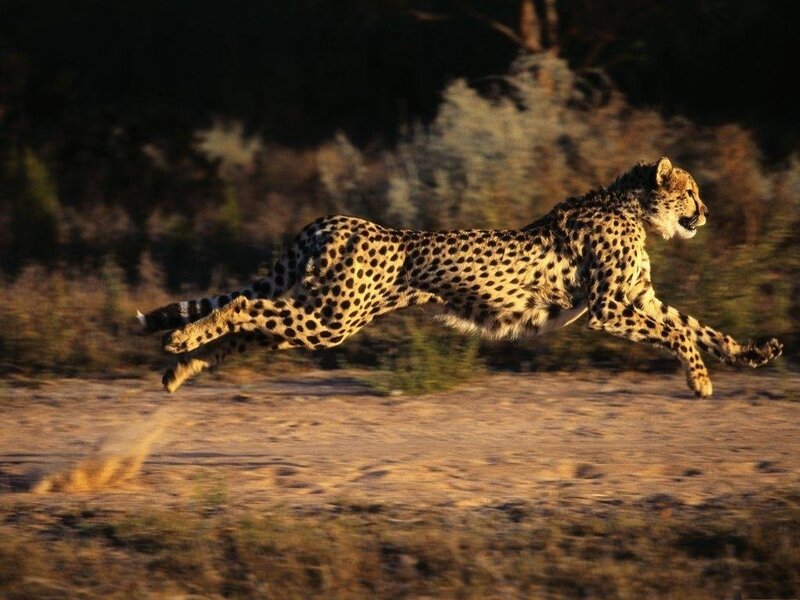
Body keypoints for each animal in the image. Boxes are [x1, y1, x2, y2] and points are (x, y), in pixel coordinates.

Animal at [139, 158, 783, 397]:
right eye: (691, 191)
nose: (707, 213)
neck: (631, 207)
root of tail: (335, 219)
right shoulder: (608, 308)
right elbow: (679, 334)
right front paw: (700, 379)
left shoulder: (639, 299)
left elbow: (697, 326)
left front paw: (753, 352)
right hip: (332, 318)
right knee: (244, 309)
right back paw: (180, 339)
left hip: (321, 314)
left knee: (249, 326)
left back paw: (179, 369)